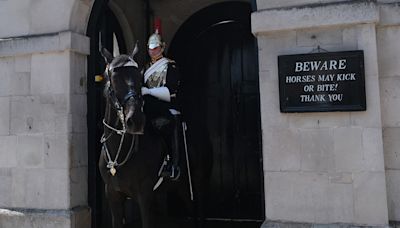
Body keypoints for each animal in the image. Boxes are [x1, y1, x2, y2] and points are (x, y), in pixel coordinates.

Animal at [98, 45, 209, 227]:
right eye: (113, 77)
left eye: (138, 76)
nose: (135, 121)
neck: (119, 152)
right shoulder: (113, 196)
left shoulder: (145, 196)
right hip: (181, 187)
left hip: (198, 185)